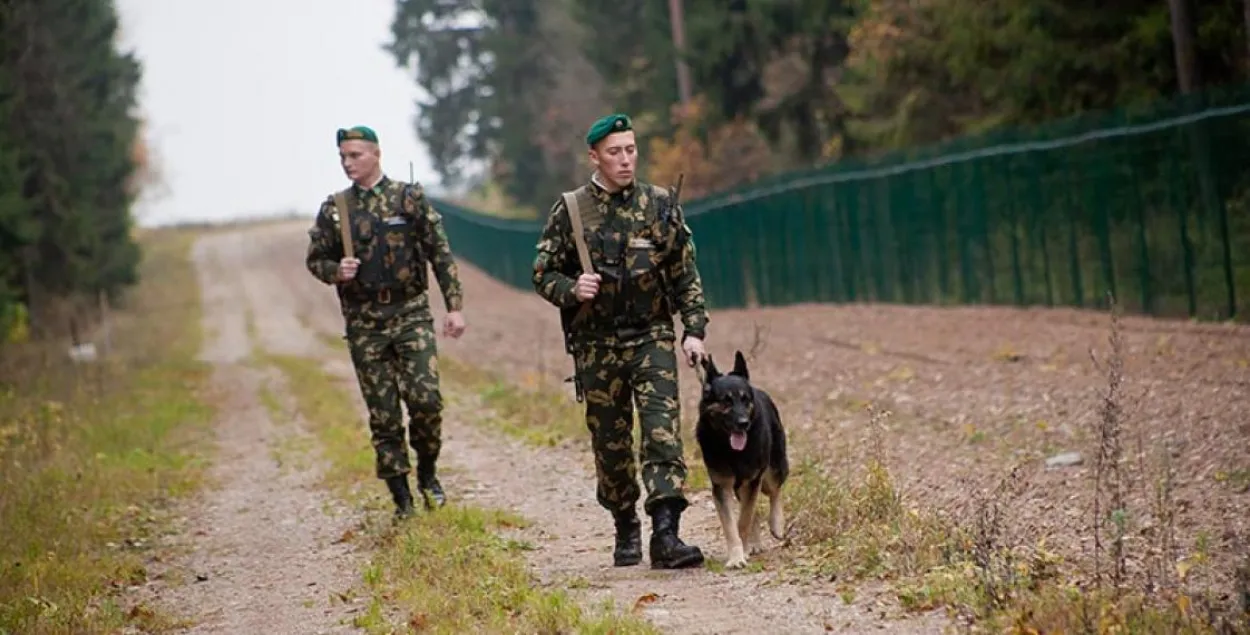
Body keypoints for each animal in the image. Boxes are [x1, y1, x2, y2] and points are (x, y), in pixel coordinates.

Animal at [695, 350, 790, 567]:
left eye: (745, 399)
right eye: (726, 401)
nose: (743, 423)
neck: (732, 451)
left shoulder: (753, 480)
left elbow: (744, 520)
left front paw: (743, 549)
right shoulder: (722, 487)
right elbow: (732, 526)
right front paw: (737, 556)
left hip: (771, 471)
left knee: (775, 491)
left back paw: (777, 524)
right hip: (741, 487)